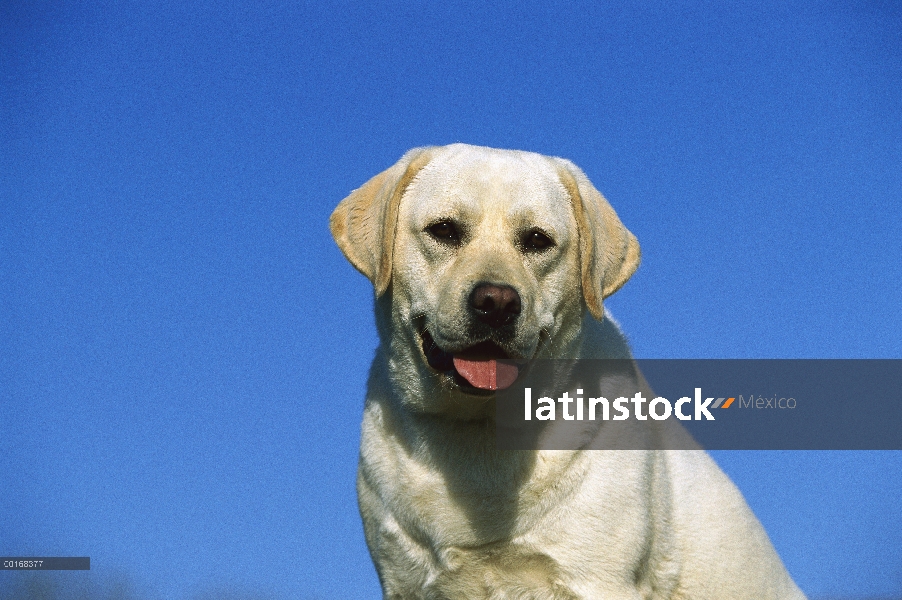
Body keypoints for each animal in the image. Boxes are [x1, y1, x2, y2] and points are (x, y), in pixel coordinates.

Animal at [330, 143, 804, 596]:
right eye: (444, 230)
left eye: (537, 240)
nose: (497, 303)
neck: (483, 429)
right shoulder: (404, 581)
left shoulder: (599, 579)